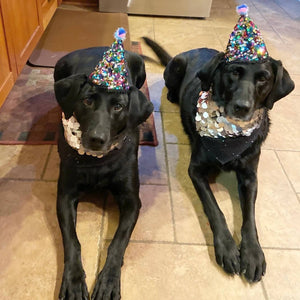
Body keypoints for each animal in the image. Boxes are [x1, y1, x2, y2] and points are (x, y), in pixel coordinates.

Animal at [53, 44, 154, 298]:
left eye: (118, 107)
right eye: (87, 101)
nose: (96, 139)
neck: (98, 160)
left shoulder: (132, 201)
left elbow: (117, 242)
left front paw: (108, 281)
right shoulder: (65, 196)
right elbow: (72, 240)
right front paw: (74, 280)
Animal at [144, 26, 294, 284]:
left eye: (263, 78)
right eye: (234, 72)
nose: (242, 107)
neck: (231, 134)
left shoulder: (250, 177)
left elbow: (249, 218)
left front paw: (252, 253)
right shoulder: (196, 170)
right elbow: (215, 209)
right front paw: (227, 248)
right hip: (175, 68)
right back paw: (173, 95)